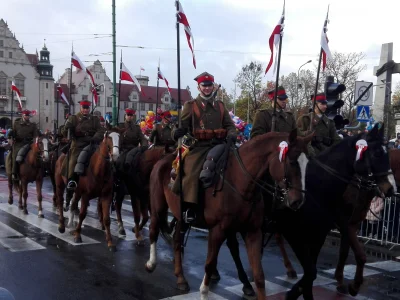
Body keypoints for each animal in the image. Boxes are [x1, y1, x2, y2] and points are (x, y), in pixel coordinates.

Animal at [145, 130, 312, 298]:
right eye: (292, 162)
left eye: (307, 164)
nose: (298, 201)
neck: (240, 182)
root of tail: (163, 159)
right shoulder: (218, 230)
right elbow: (210, 264)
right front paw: (204, 293)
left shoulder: (252, 232)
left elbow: (259, 275)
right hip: (158, 207)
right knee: (153, 229)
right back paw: (151, 263)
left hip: (182, 216)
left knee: (177, 240)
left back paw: (180, 278)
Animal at [278, 124, 396, 300]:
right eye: (376, 153)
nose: (391, 189)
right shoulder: (334, 225)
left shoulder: (331, 230)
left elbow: (348, 255)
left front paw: (350, 285)